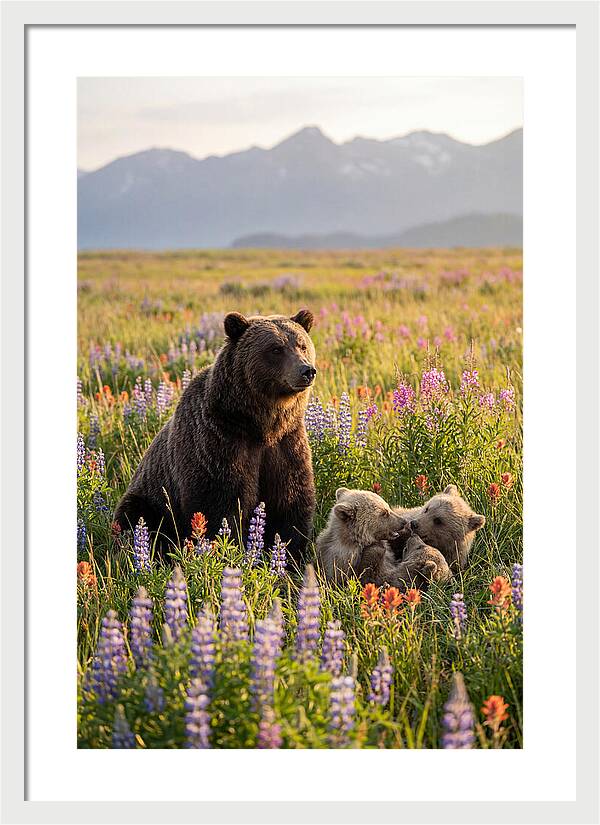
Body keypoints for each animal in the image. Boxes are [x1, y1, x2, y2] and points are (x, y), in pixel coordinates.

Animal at [113, 309, 317, 564]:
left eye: (302, 345)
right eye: (276, 349)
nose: (306, 370)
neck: (260, 425)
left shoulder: (286, 444)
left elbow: (291, 501)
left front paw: (290, 558)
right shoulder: (219, 442)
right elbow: (220, 504)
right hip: (150, 498)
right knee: (137, 519)